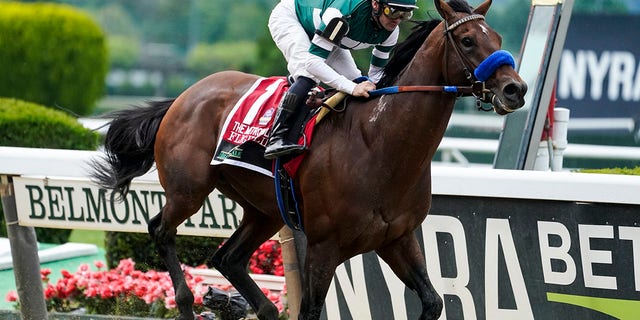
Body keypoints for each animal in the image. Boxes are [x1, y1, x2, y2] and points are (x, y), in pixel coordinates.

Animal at [92, 0, 528, 320]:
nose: (516, 89)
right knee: (160, 229)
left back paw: (263, 308)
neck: (379, 144)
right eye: (468, 40)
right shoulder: (323, 247)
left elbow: (433, 302)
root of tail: (182, 97)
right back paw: (185, 302)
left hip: (264, 210)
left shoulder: (398, 238)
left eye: (498, 36)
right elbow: (311, 311)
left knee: (227, 258)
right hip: (189, 190)